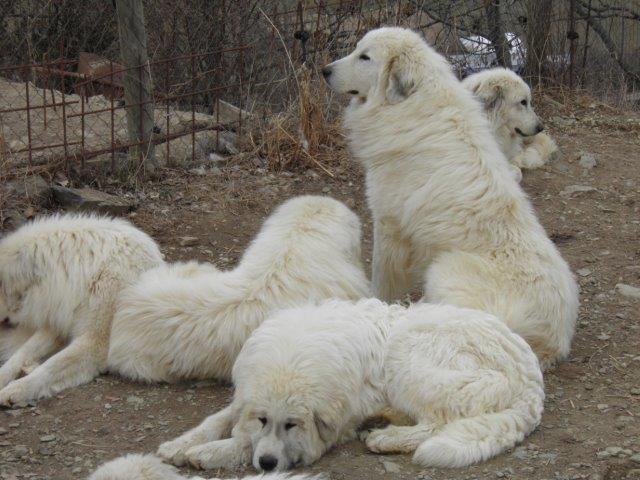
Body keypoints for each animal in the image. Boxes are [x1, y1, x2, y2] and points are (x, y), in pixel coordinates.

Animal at [158, 298, 544, 470]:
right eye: (263, 419)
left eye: (292, 424)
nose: (267, 464)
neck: (293, 354)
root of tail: (531, 376)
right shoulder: (244, 395)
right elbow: (218, 420)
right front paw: (179, 445)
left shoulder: (334, 427)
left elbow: (241, 441)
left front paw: (209, 453)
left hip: (409, 358)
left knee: (437, 422)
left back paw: (387, 438)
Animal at [322, 28, 576, 370]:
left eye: (365, 57)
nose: (324, 70)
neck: (412, 104)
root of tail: (556, 341)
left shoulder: (389, 224)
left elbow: (382, 278)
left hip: (444, 268)